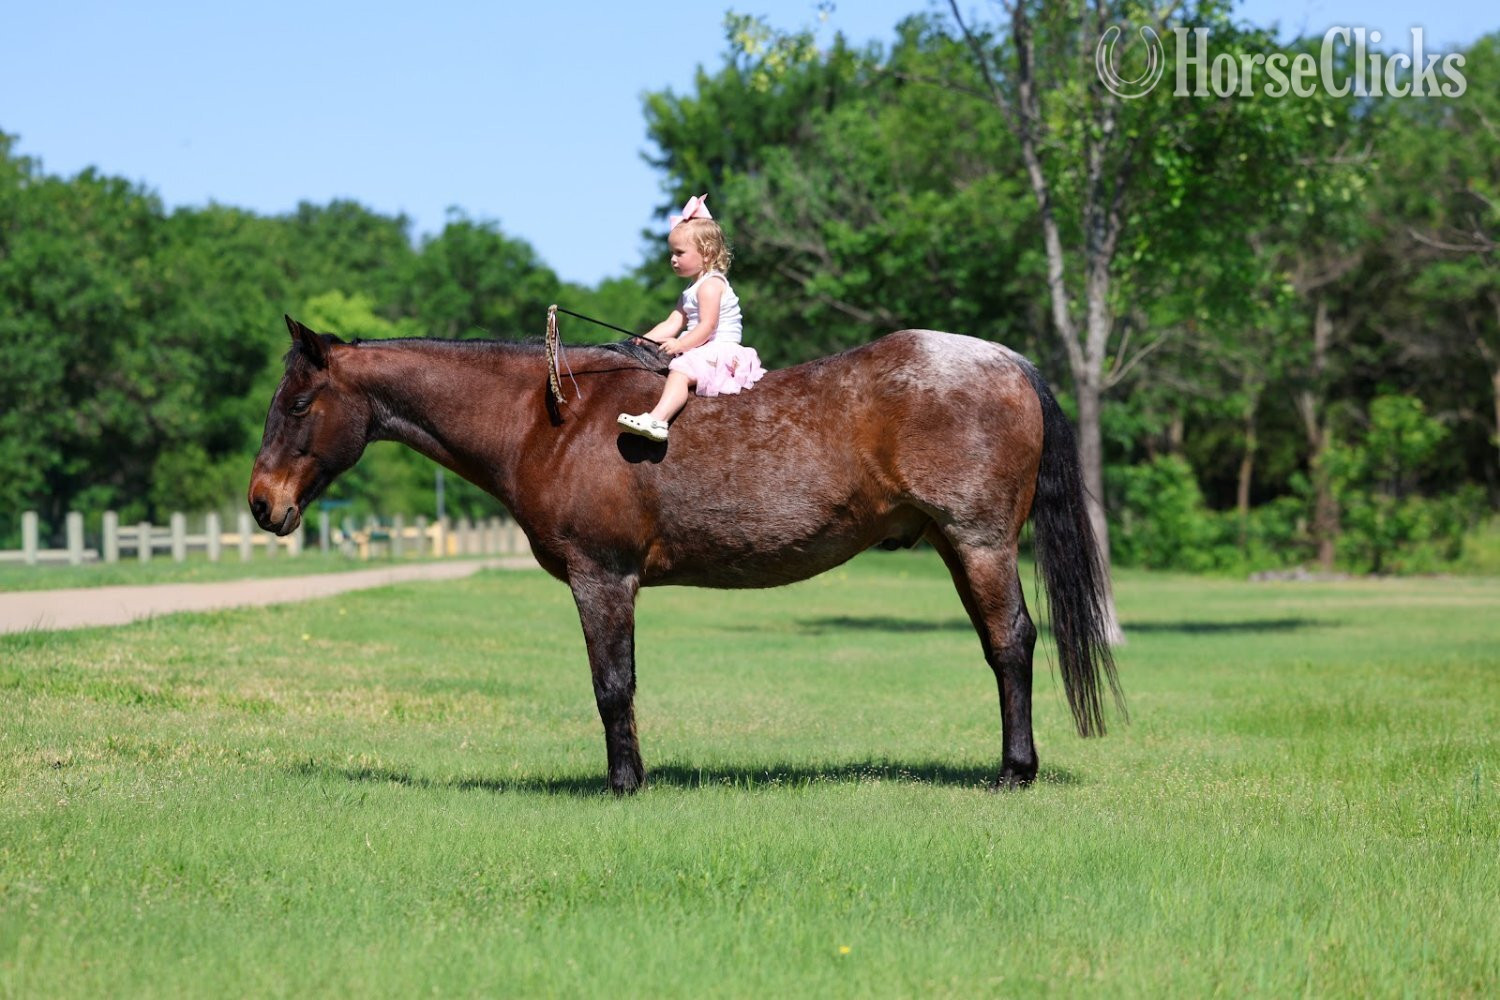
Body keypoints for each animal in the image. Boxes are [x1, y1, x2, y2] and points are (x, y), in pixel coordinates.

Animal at [249, 316, 1122, 793]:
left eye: (299, 403)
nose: (262, 504)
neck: (551, 418)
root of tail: (1009, 361)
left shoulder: (602, 578)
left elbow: (612, 687)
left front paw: (623, 784)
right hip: (955, 547)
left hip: (978, 544)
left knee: (1011, 645)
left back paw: (1013, 771)